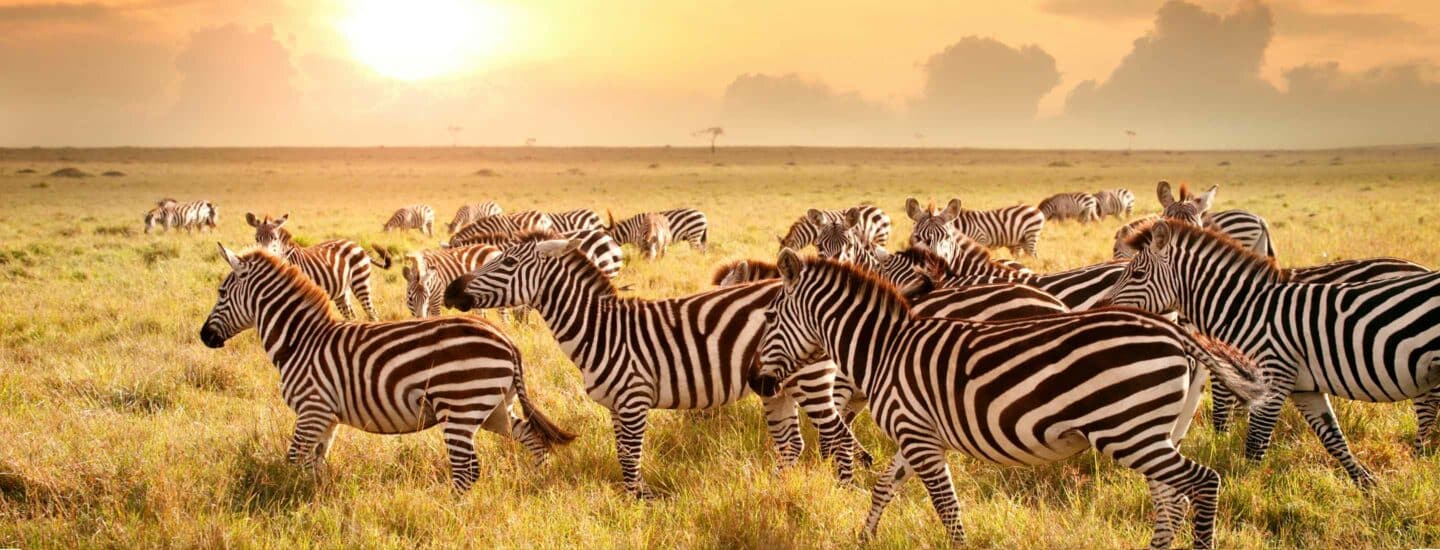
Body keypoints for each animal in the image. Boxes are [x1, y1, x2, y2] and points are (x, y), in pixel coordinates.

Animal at [200, 245, 575, 492]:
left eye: (221, 292)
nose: (204, 336)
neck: (301, 341)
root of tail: (508, 342)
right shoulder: (326, 416)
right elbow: (315, 463)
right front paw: (313, 498)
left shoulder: (312, 409)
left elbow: (294, 459)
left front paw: (287, 496)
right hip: (493, 408)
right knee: (530, 436)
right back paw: (538, 480)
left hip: (459, 407)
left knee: (467, 469)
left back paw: (452, 510)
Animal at [246, 213, 389, 320]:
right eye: (257, 239)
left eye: (274, 238)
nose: (265, 255)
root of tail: (357, 245)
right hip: (342, 291)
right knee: (351, 315)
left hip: (360, 281)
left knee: (372, 312)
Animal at [442, 234, 862, 495]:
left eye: (509, 262)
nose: (450, 291)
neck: (601, 330)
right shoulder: (616, 405)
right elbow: (622, 455)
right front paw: (632, 501)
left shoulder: (633, 398)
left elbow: (631, 457)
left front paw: (640, 504)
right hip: (778, 387)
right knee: (792, 444)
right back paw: (776, 491)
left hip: (810, 380)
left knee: (838, 438)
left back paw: (842, 490)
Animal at [749, 251, 1271, 548]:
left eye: (770, 317)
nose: (756, 382)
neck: (885, 350)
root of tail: (1175, 330)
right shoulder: (914, 434)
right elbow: (884, 486)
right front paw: (864, 537)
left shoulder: (918, 436)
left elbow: (946, 506)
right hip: (1157, 432)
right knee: (1171, 499)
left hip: (1128, 431)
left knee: (1203, 483)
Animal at [1103, 220, 1440, 483]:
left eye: (1136, 274)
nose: (1103, 307)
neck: (1247, 309)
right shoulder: (1304, 388)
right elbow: (1334, 439)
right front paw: (1369, 487)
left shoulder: (1271, 379)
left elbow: (1254, 446)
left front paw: (1244, 495)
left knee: (1426, 420)